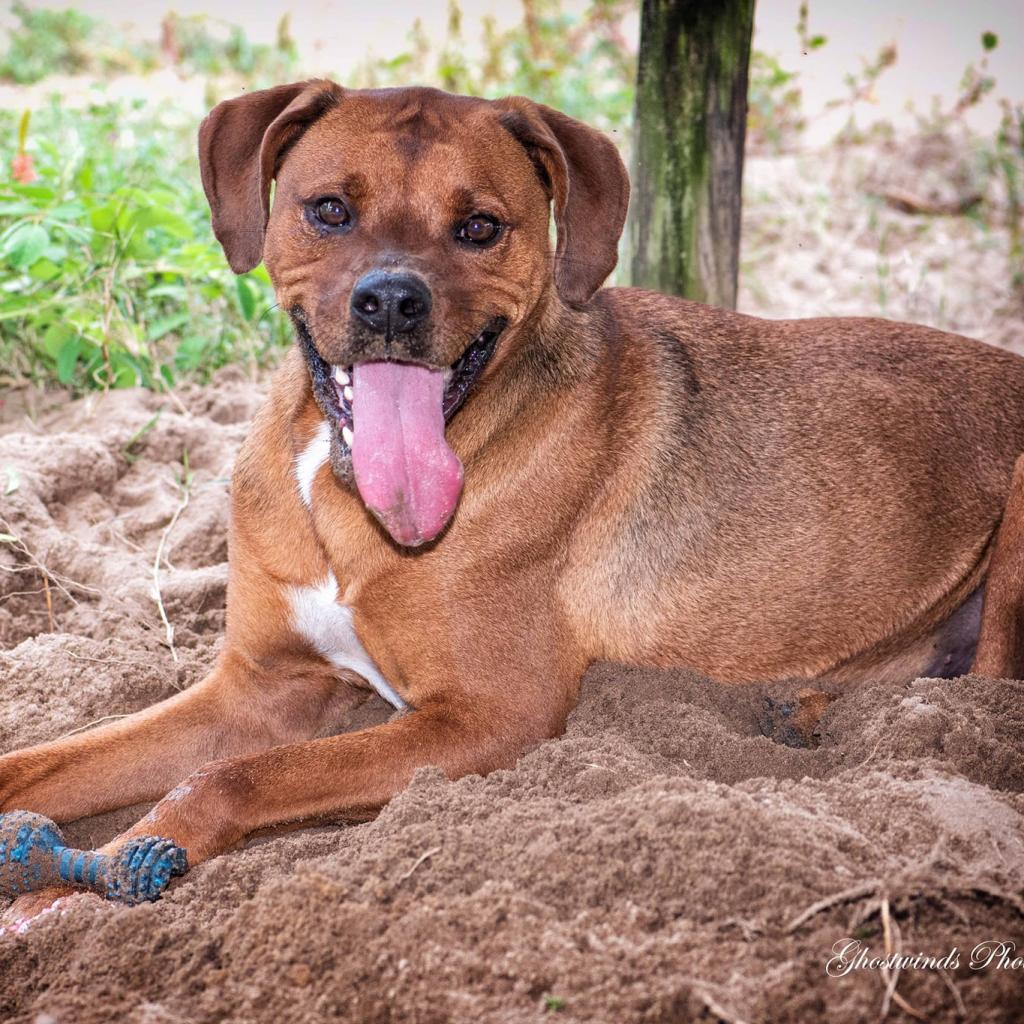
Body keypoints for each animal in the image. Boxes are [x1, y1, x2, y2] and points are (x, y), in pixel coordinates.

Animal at [2, 81, 1024, 921]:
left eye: (480, 227)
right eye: (329, 210)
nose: (390, 302)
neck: (344, 492)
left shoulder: (488, 716)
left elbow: (227, 785)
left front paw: (75, 892)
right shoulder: (258, 690)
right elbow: (42, 761)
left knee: (982, 701)